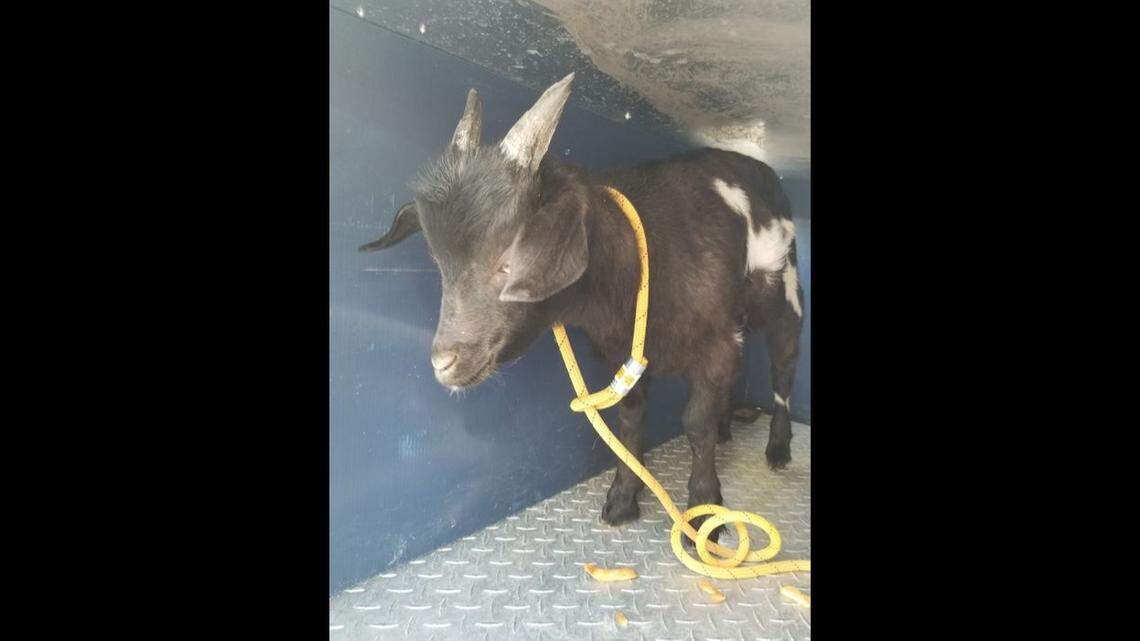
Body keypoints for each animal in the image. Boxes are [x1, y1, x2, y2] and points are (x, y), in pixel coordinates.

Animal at [360, 73, 803, 536]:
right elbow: (629, 416)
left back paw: (778, 448)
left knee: (783, 371)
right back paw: (727, 427)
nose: (444, 362)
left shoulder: (715, 343)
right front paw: (623, 497)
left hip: (787, 297)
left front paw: (704, 513)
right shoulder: (623, 354)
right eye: (438, 261)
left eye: (509, 260)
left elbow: (695, 424)